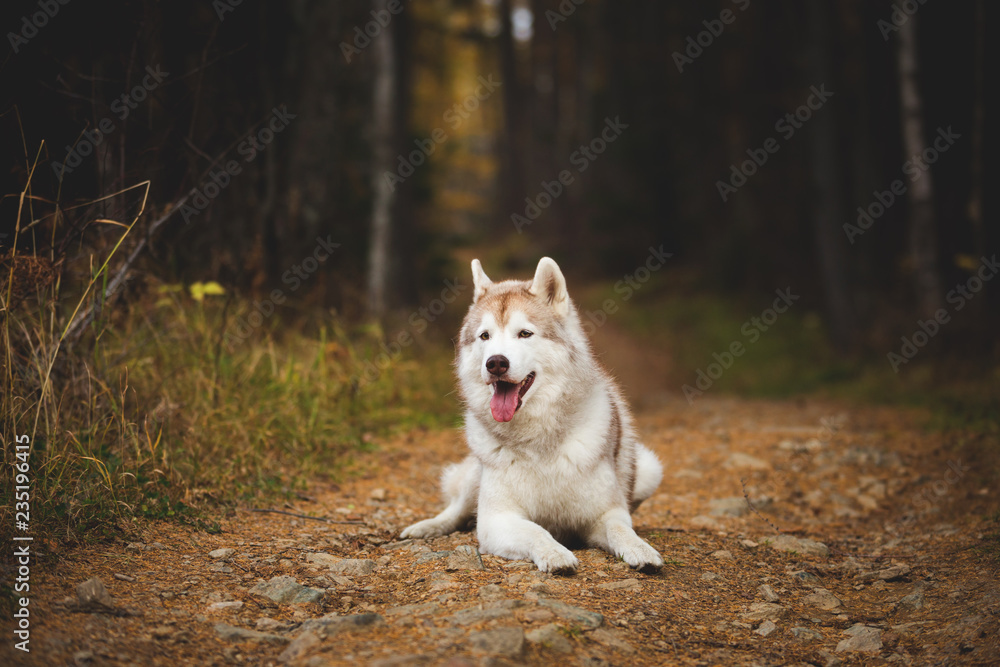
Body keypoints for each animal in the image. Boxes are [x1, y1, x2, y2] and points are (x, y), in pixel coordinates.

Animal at [398, 258, 664, 572]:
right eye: (485, 336)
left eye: (525, 333)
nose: (495, 363)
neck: (538, 440)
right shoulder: (496, 520)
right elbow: (536, 530)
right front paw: (555, 553)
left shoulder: (606, 512)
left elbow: (621, 529)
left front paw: (641, 550)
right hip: (475, 479)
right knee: (456, 509)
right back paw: (425, 528)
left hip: (650, 468)